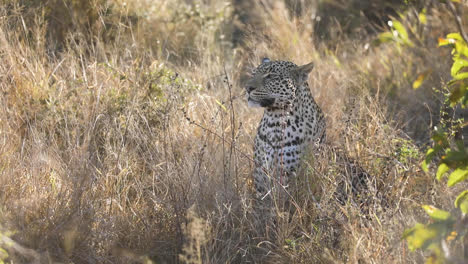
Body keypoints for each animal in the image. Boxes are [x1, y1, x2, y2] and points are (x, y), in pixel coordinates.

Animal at [245, 58, 326, 201]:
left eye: (270, 76)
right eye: (253, 74)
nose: (247, 88)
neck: (274, 121)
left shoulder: (289, 174)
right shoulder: (260, 172)